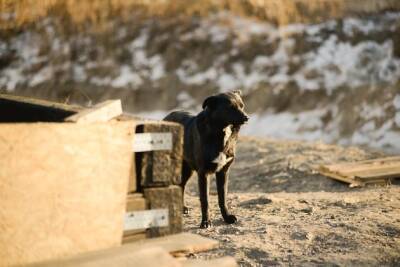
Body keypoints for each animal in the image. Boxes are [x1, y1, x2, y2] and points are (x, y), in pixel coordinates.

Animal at [164, 90, 248, 228]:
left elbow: (222, 198)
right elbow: (205, 200)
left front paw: (227, 218)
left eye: (242, 106)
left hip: (187, 169)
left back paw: (181, 208)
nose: (247, 118)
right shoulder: (203, 173)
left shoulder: (223, 172)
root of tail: (166, 117)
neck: (219, 130)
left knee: (181, 186)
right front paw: (205, 222)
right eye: (230, 107)